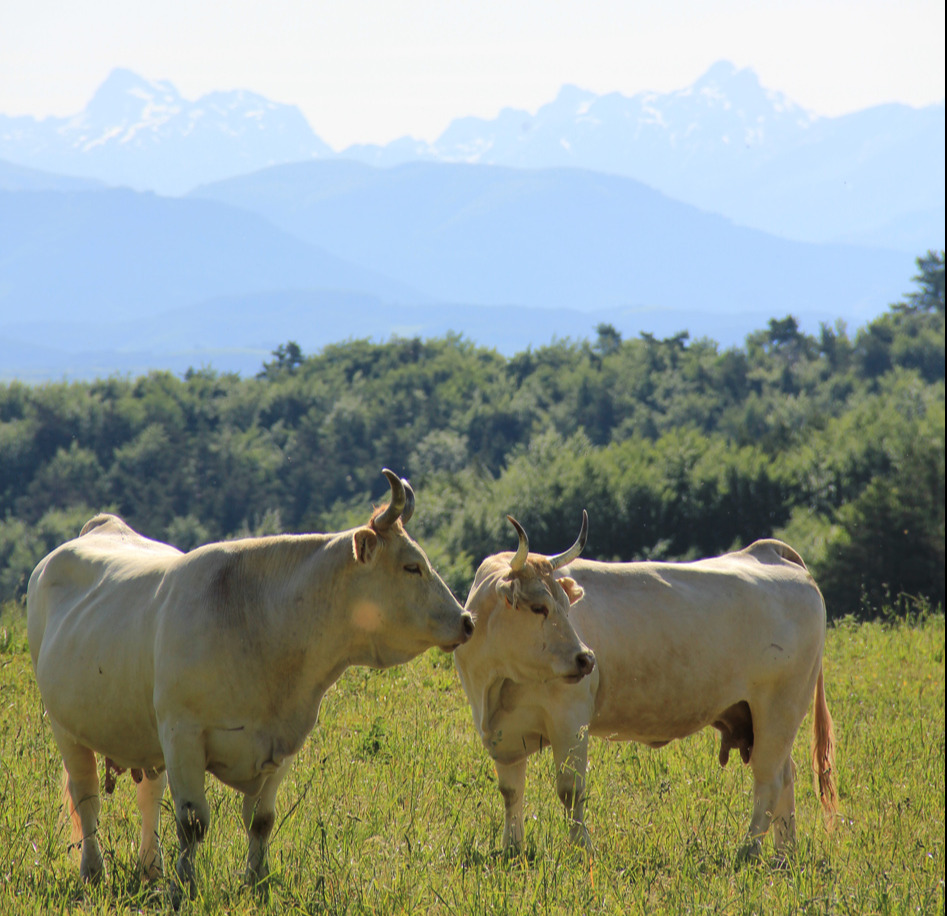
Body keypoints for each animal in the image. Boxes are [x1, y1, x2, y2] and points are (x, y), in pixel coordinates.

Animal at [27, 470, 473, 900]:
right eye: (411, 566)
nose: (466, 620)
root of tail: (101, 526)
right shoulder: (183, 734)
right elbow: (191, 821)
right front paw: (185, 886)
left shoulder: (283, 743)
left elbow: (261, 821)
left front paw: (256, 882)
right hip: (64, 726)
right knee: (87, 798)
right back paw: (94, 871)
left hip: (142, 734)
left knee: (148, 796)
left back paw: (152, 870)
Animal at [454, 513, 837, 861]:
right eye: (538, 607)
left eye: (565, 605)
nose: (586, 659)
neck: (496, 683)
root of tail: (768, 551)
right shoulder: (502, 733)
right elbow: (510, 791)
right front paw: (512, 849)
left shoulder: (569, 720)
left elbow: (570, 789)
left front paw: (581, 851)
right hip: (767, 720)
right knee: (786, 775)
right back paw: (785, 854)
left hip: (779, 708)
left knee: (768, 779)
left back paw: (748, 851)